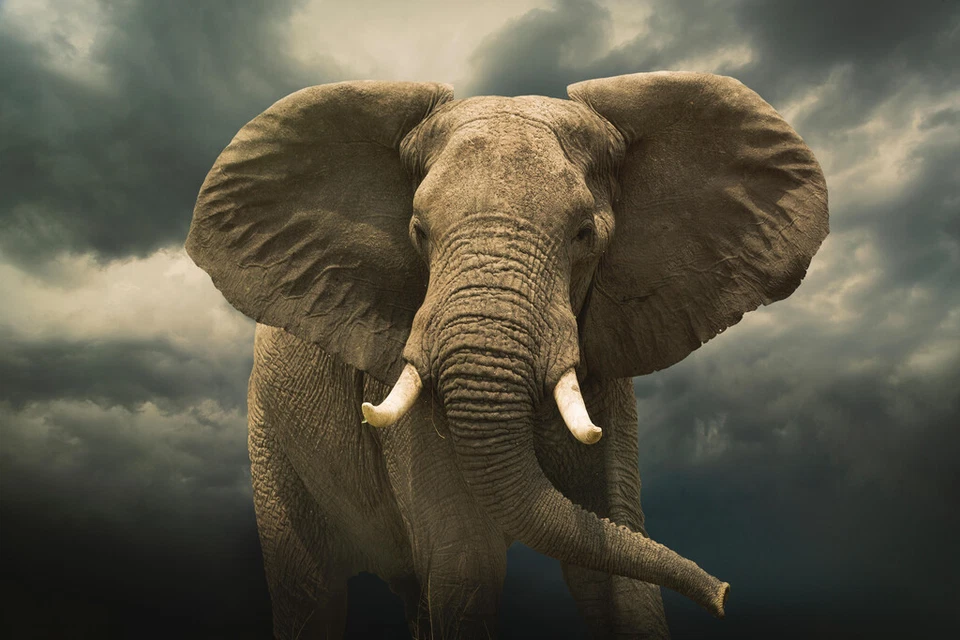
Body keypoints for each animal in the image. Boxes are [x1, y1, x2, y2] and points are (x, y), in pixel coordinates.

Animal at [185, 71, 828, 639]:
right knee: (312, 595)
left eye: (584, 234)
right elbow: (467, 565)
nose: (724, 595)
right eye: (418, 231)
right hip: (270, 436)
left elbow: (617, 569)